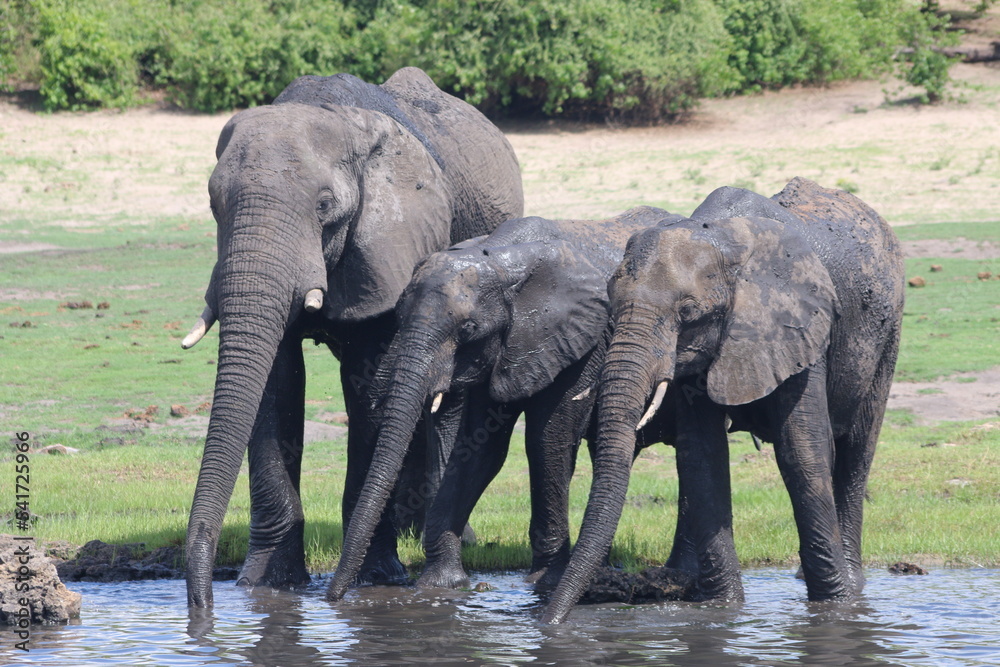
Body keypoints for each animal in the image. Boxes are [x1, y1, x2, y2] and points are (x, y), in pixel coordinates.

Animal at [181, 67, 523, 608]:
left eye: (325, 207)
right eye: (214, 204)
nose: (202, 604)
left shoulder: (392, 245)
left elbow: (371, 384)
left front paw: (375, 578)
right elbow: (275, 384)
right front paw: (267, 586)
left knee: (443, 400)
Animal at [326, 206, 683, 600]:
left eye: (467, 329)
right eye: (398, 319)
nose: (333, 597)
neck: (502, 260)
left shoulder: (583, 340)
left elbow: (548, 440)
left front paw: (545, 582)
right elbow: (478, 450)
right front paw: (442, 585)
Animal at [542, 178, 905, 623]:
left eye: (687, 311)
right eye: (610, 301)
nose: (549, 623)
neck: (722, 238)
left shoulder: (801, 325)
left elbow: (803, 450)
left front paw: (834, 607)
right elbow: (702, 455)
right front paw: (722, 609)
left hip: (888, 334)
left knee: (857, 450)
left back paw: (853, 587)